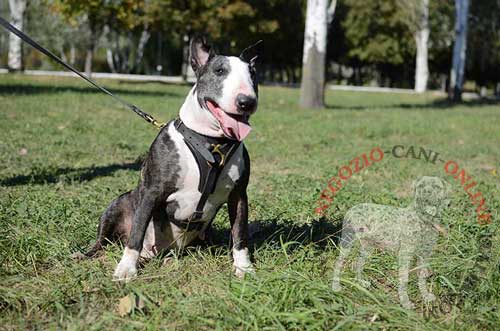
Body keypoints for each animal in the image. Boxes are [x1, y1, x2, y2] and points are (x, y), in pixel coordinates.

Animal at [80, 37, 260, 280]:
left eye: (253, 74)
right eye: (220, 71)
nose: (246, 101)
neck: (212, 142)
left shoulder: (238, 195)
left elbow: (240, 232)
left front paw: (244, 267)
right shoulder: (152, 192)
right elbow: (137, 231)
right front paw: (126, 269)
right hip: (118, 204)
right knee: (104, 240)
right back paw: (89, 254)